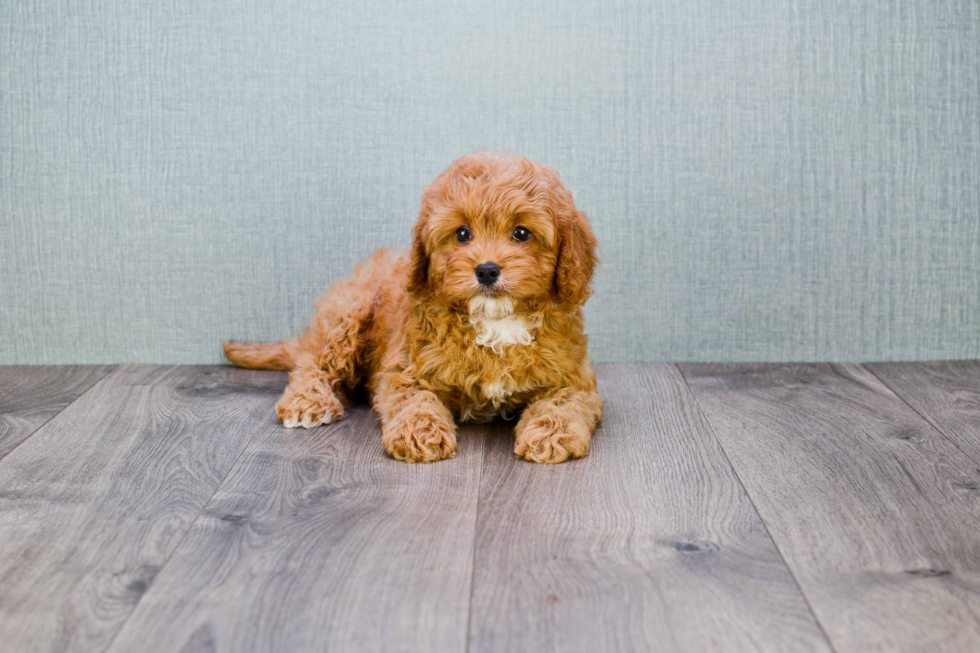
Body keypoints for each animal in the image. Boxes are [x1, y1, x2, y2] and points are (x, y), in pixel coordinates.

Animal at [225, 152, 600, 464]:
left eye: (522, 233)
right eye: (462, 234)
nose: (487, 270)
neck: (496, 319)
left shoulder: (571, 375)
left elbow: (564, 401)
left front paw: (552, 433)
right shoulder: (404, 368)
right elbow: (415, 400)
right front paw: (420, 432)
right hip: (348, 314)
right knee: (312, 363)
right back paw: (308, 401)